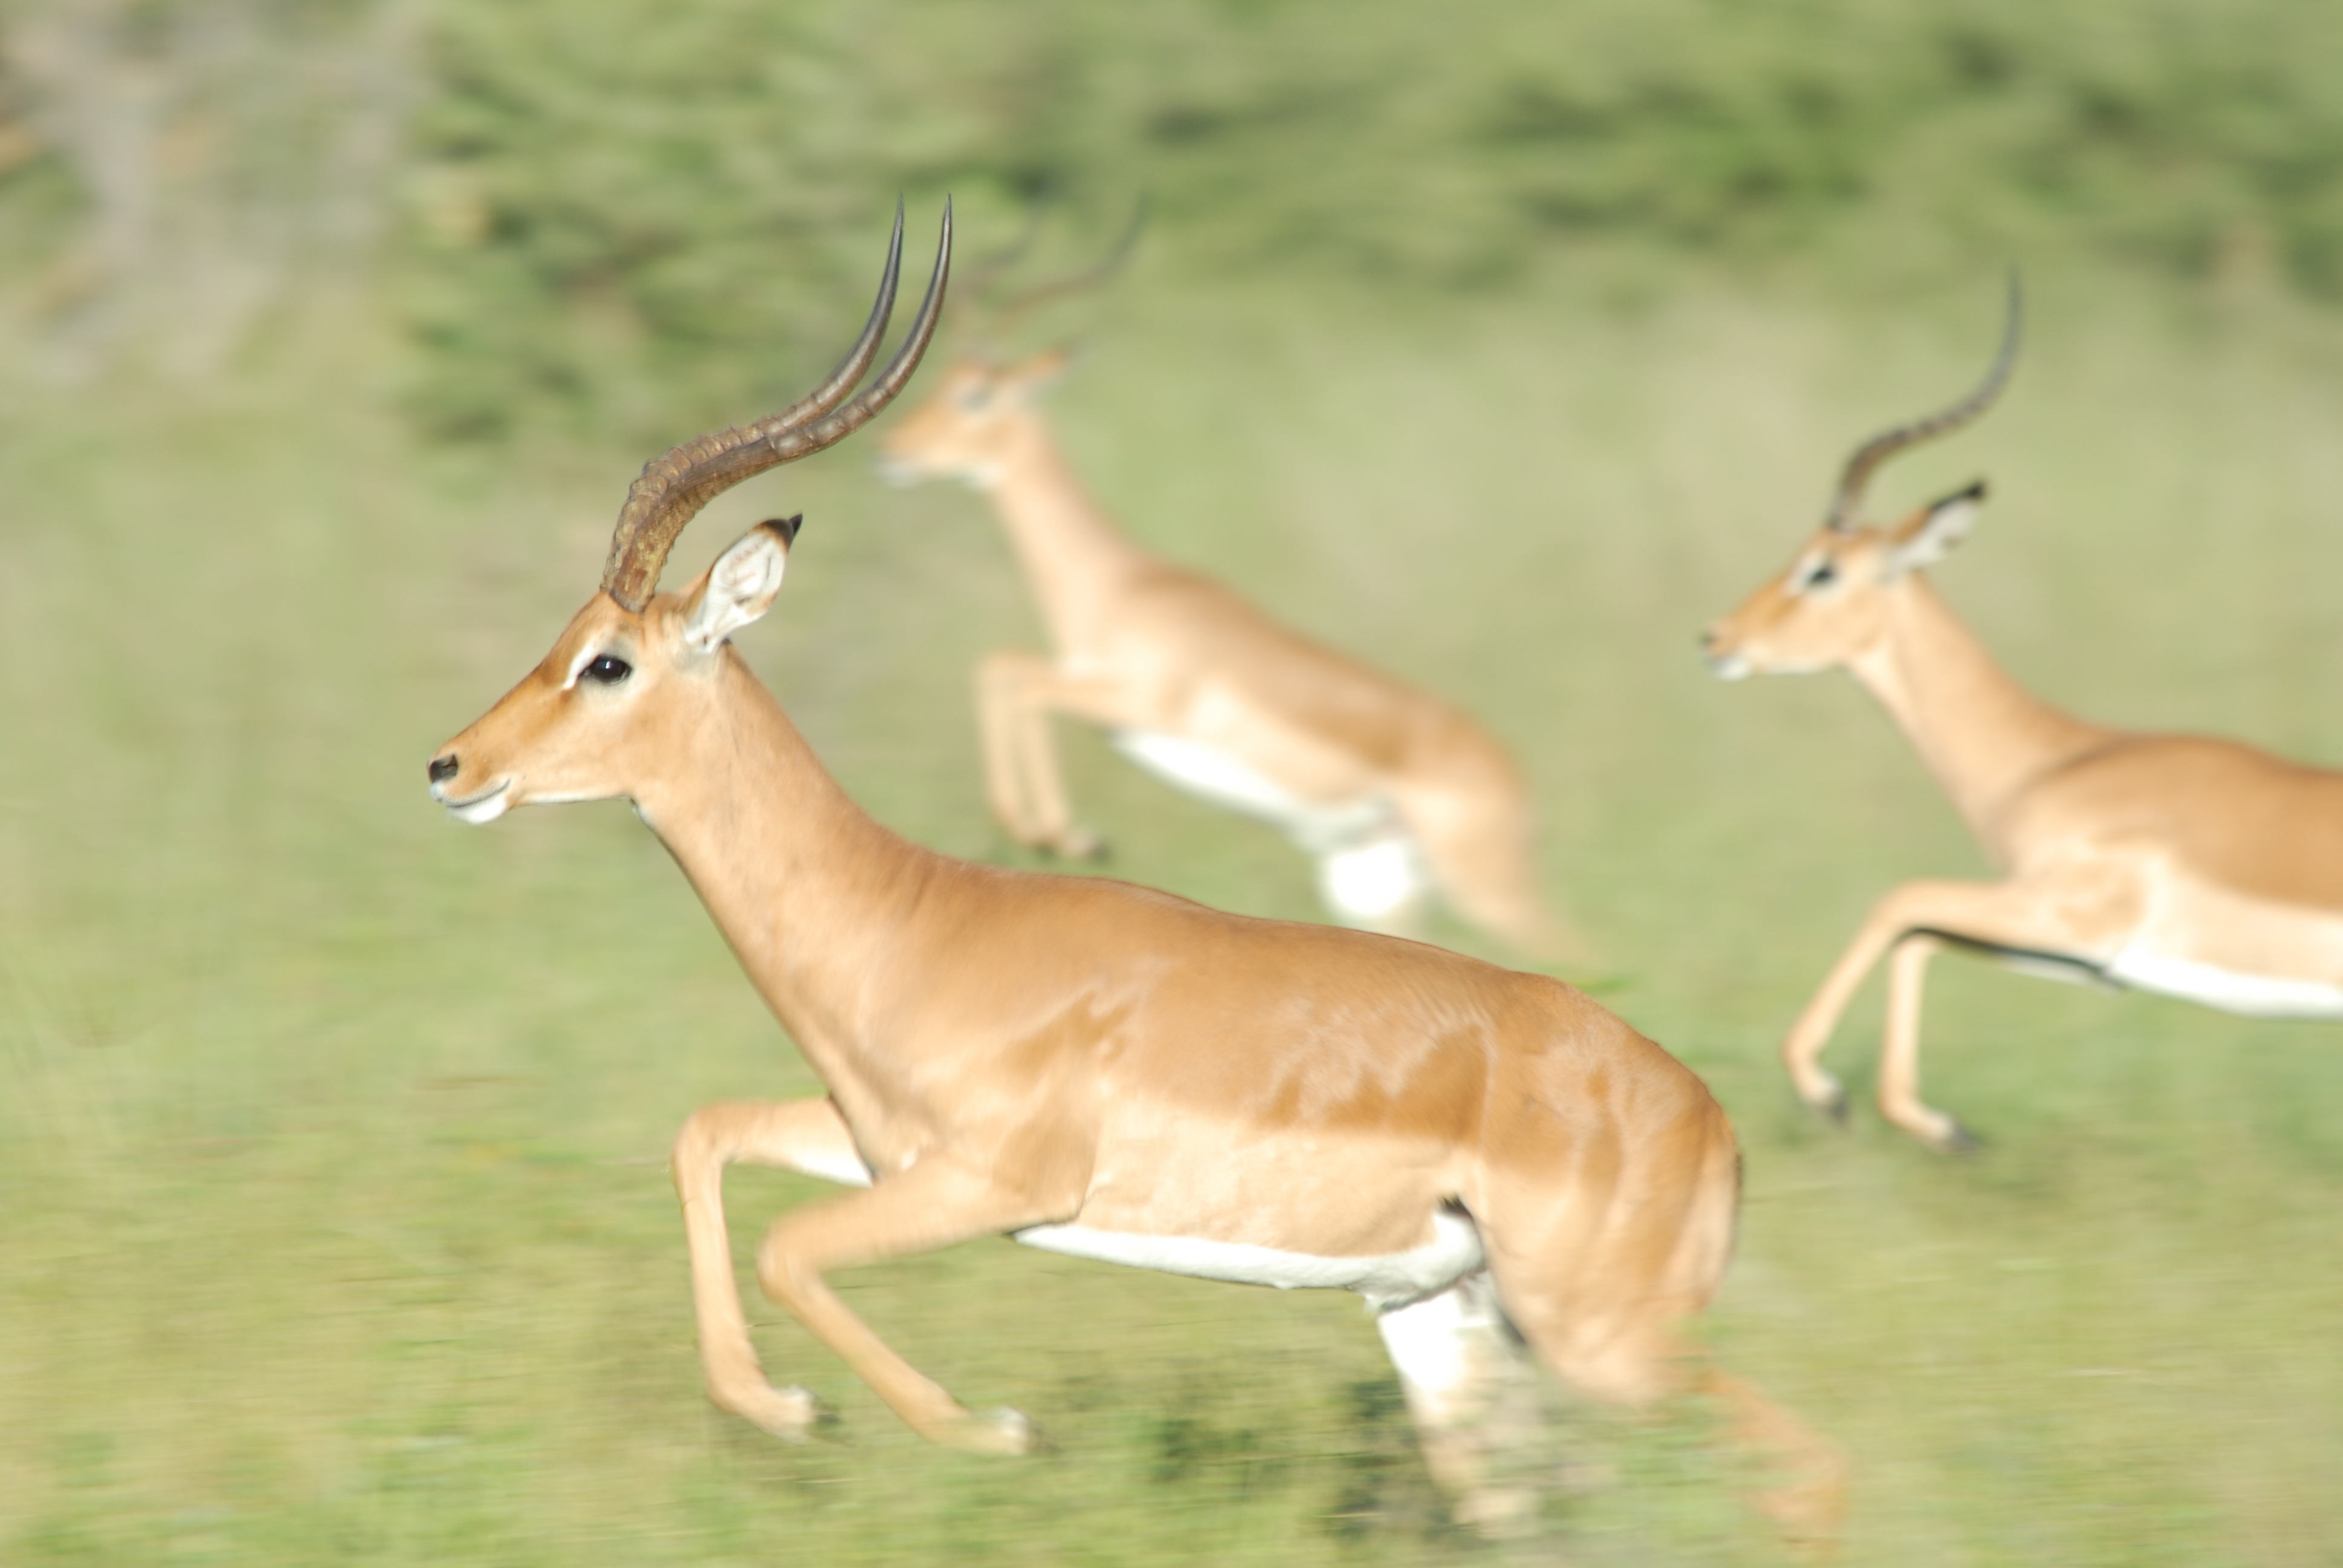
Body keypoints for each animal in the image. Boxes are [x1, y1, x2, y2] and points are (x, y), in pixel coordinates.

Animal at [874, 233, 1579, 960]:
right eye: (942, 382)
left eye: (977, 395)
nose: (891, 449)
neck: (1120, 587)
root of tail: (1517, 779)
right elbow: (1003, 667)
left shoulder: (1138, 704)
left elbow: (1020, 682)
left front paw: (1066, 836)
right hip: (1375, 885)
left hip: (1485, 887)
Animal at [1704, 281, 2343, 1151]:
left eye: (1822, 570)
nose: (1717, 639)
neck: (2054, 761)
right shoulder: (2082, 955)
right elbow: (1919, 932)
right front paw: (1937, 1123)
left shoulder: (2071, 917)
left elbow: (1897, 900)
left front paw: (1830, 1092)